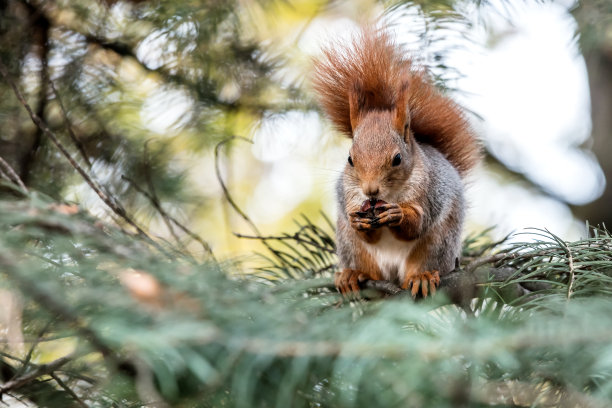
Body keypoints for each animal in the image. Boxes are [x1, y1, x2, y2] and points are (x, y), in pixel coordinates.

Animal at [314, 27, 480, 298]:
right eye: (350, 159)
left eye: (397, 159)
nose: (370, 191)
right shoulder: (350, 195)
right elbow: (365, 230)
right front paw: (359, 221)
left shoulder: (429, 192)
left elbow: (418, 224)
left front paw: (398, 214)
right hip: (352, 246)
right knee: (367, 267)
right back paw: (352, 275)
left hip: (438, 244)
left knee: (422, 262)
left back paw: (422, 277)